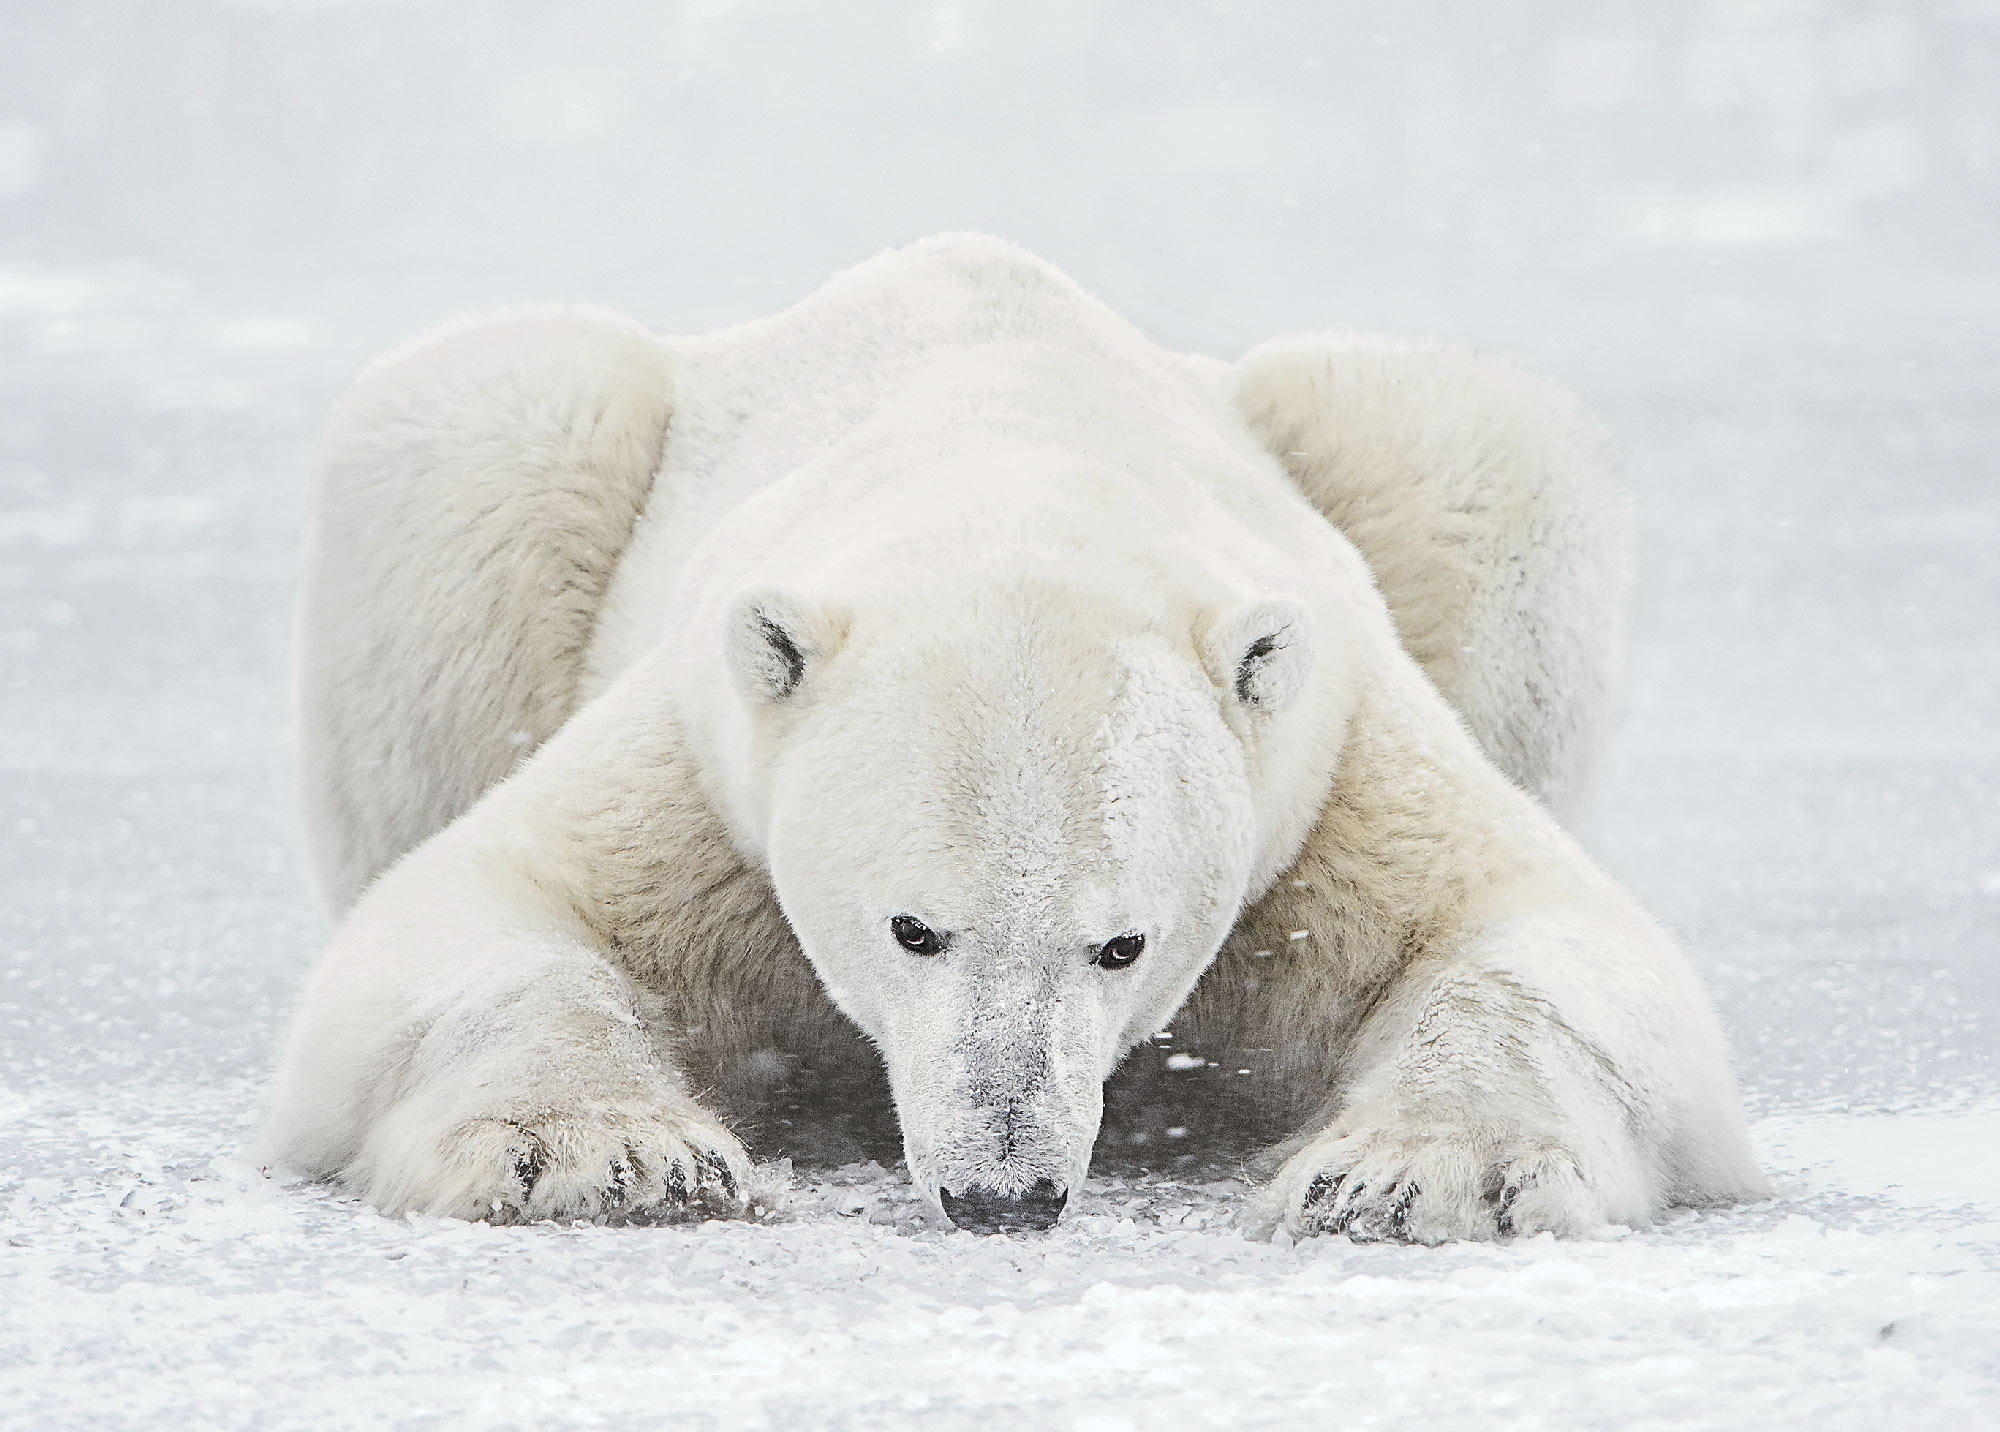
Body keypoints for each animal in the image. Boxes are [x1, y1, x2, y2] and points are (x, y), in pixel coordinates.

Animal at [266, 238, 1768, 1240]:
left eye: (1123, 942)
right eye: (912, 927)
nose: (1006, 1190)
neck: (1024, 475)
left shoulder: (1323, 775)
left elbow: (1539, 939)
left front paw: (1418, 1175)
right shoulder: (707, 765)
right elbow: (471, 915)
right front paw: (609, 1159)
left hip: (1420, 463)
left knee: (1479, 443)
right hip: (507, 469)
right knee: (487, 430)